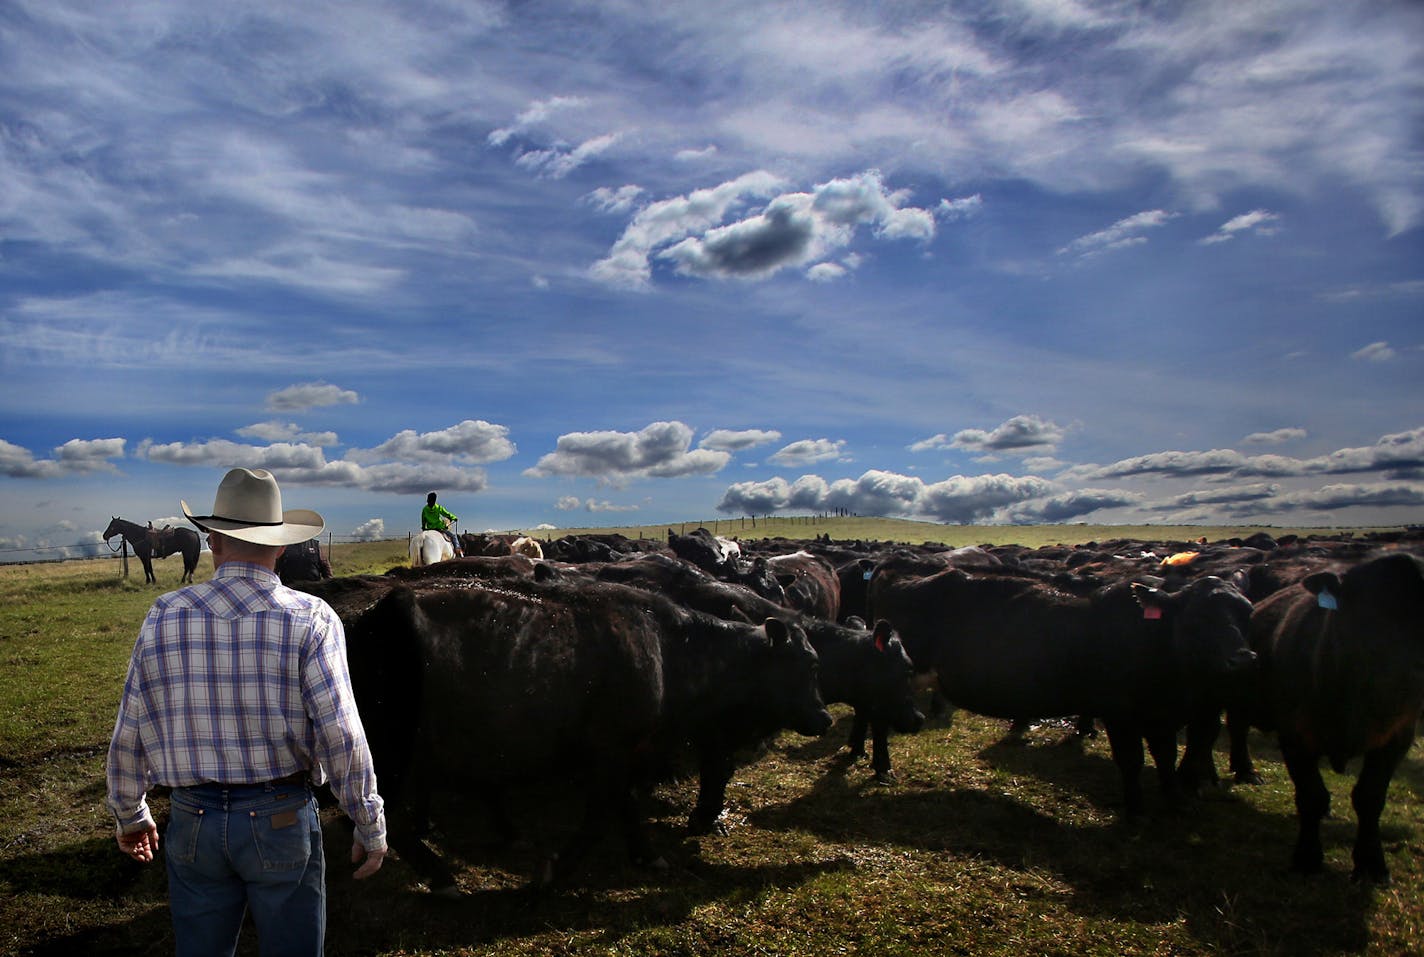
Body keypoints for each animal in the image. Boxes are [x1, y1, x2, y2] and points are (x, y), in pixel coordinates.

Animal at [341, 572, 831, 894]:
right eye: (809, 664)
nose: (825, 718)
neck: (670, 649)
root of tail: (370, 619)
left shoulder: (623, 753)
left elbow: (626, 806)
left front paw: (646, 854)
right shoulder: (611, 752)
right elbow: (598, 818)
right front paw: (557, 870)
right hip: (390, 754)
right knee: (387, 816)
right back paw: (442, 877)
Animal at [865, 561, 1258, 814]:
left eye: (1247, 613)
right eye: (1198, 617)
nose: (1243, 658)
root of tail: (895, 574)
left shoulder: (1163, 716)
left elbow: (1166, 757)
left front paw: (1175, 800)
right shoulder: (1119, 713)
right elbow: (1132, 760)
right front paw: (1135, 809)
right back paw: (882, 768)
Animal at [1224, 549, 1424, 888]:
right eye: (1369, 612)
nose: (1413, 677)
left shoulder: (1395, 738)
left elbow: (1370, 798)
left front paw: (1372, 866)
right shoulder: (1294, 736)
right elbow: (1311, 795)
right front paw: (1307, 858)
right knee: (1238, 728)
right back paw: (1247, 771)